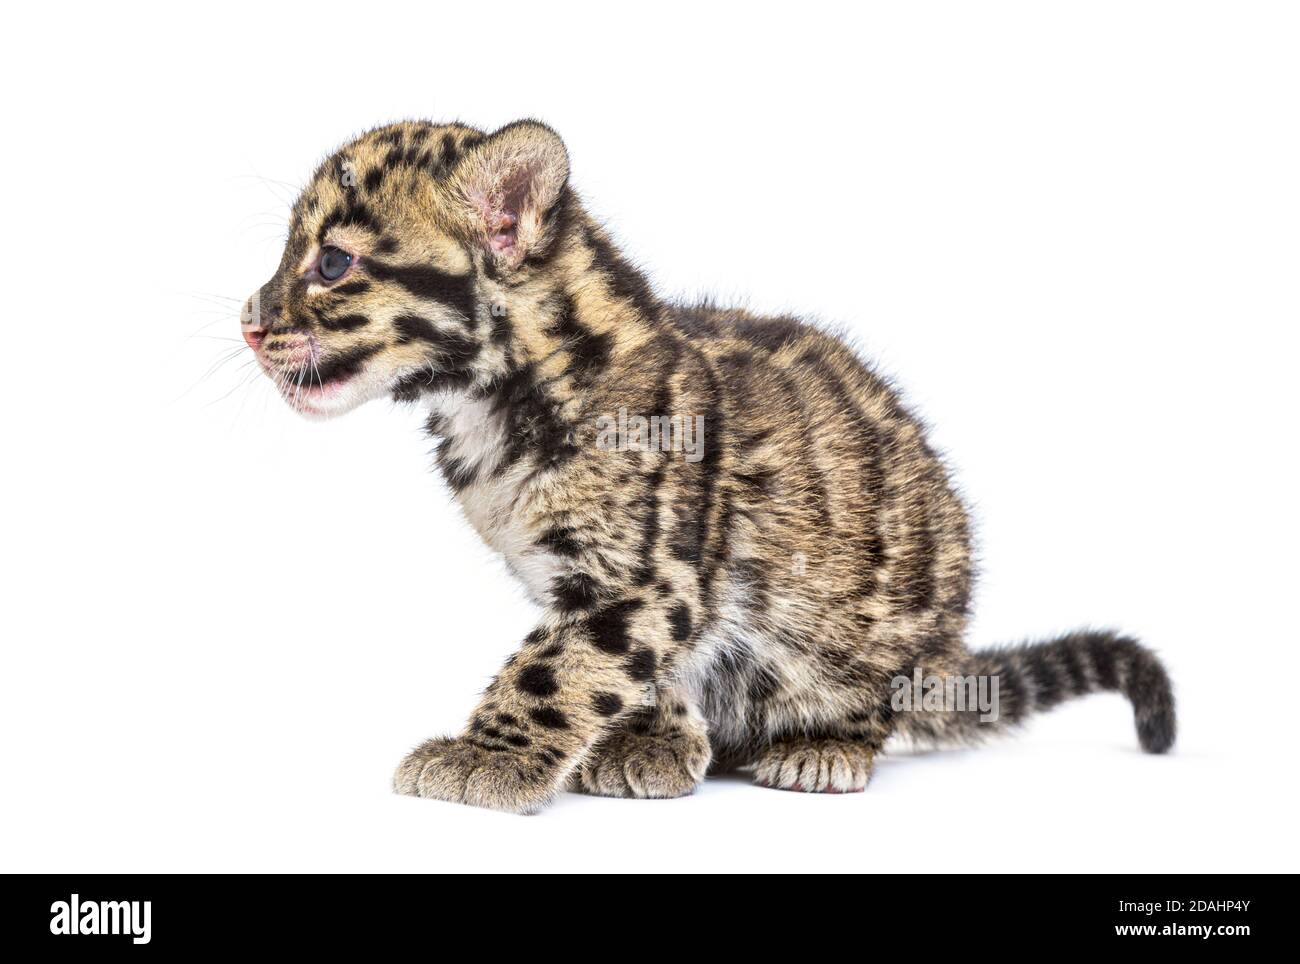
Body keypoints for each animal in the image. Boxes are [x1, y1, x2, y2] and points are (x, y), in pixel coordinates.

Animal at [239, 118, 1175, 813]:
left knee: (874, 703)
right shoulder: (610, 587)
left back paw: (820, 747)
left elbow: (554, 667)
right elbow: (643, 669)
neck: (490, 402)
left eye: (332, 263)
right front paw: (651, 740)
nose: (249, 321)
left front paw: (482, 755)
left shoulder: (641, 576)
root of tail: (947, 656)